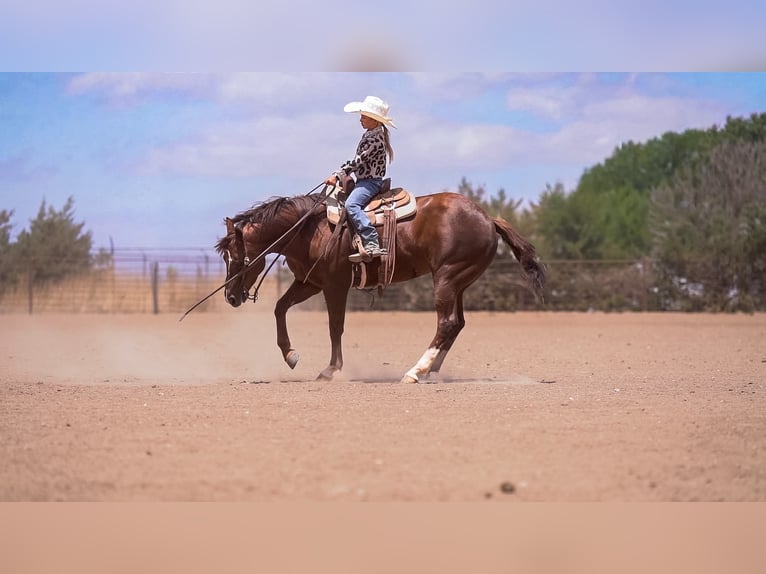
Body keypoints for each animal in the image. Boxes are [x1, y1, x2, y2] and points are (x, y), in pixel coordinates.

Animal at [215, 189, 545, 383]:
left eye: (237, 258)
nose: (229, 296)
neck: (310, 229)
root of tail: (488, 218)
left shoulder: (334, 286)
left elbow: (335, 327)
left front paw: (331, 369)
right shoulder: (309, 282)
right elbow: (280, 307)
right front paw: (290, 355)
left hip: (447, 277)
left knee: (447, 322)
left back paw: (415, 371)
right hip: (460, 283)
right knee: (457, 323)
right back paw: (431, 371)